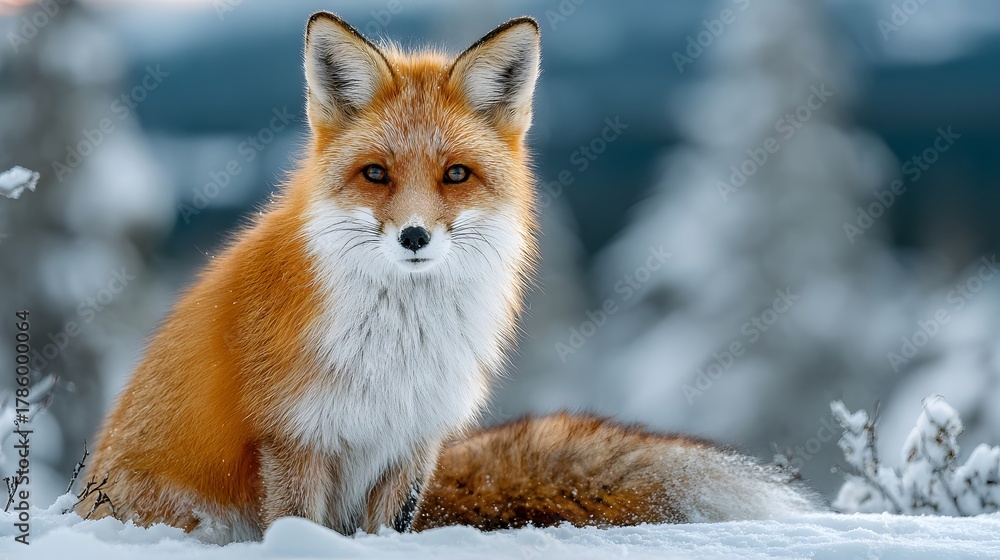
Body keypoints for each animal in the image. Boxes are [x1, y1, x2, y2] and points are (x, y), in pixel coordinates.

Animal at [77, 12, 819, 543]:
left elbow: (382, 533)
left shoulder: (410, 441)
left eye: (455, 174)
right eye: (376, 174)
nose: (414, 236)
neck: (397, 345)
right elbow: (299, 530)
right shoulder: (295, 439)